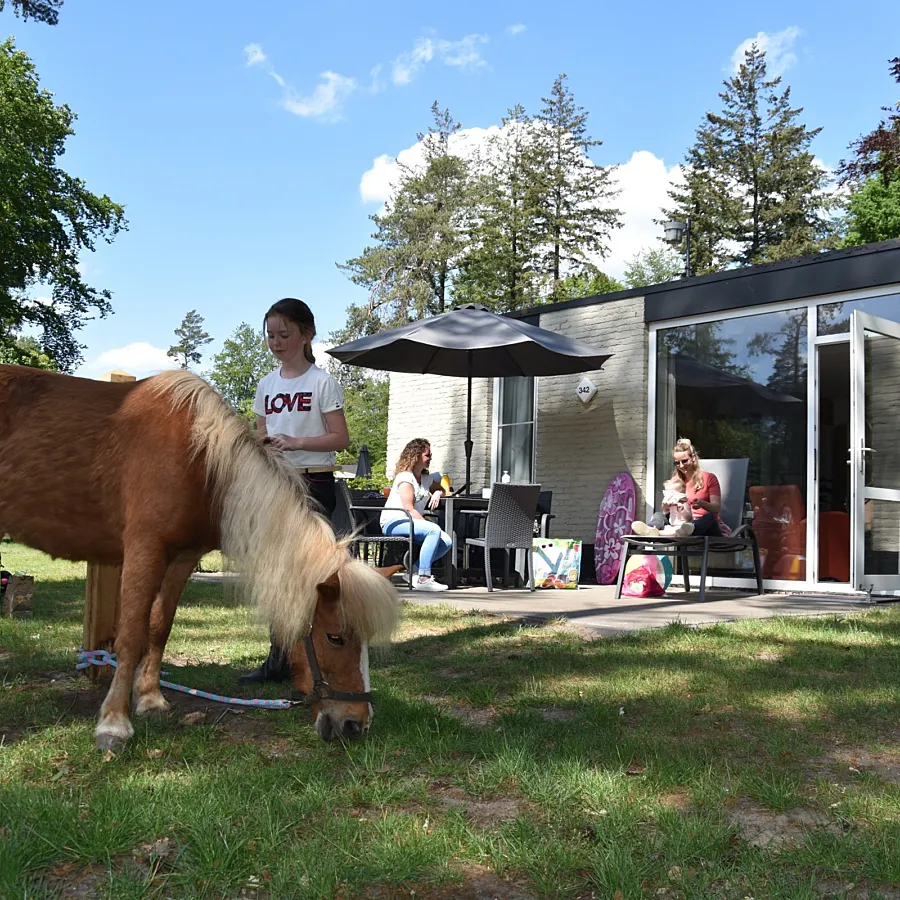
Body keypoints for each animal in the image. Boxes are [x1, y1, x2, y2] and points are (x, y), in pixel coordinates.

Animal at [0, 364, 399, 750]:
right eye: (336, 638)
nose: (356, 724)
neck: (199, 459)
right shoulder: (144, 549)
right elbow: (130, 634)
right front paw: (114, 722)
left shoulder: (182, 559)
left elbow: (159, 627)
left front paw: (149, 699)